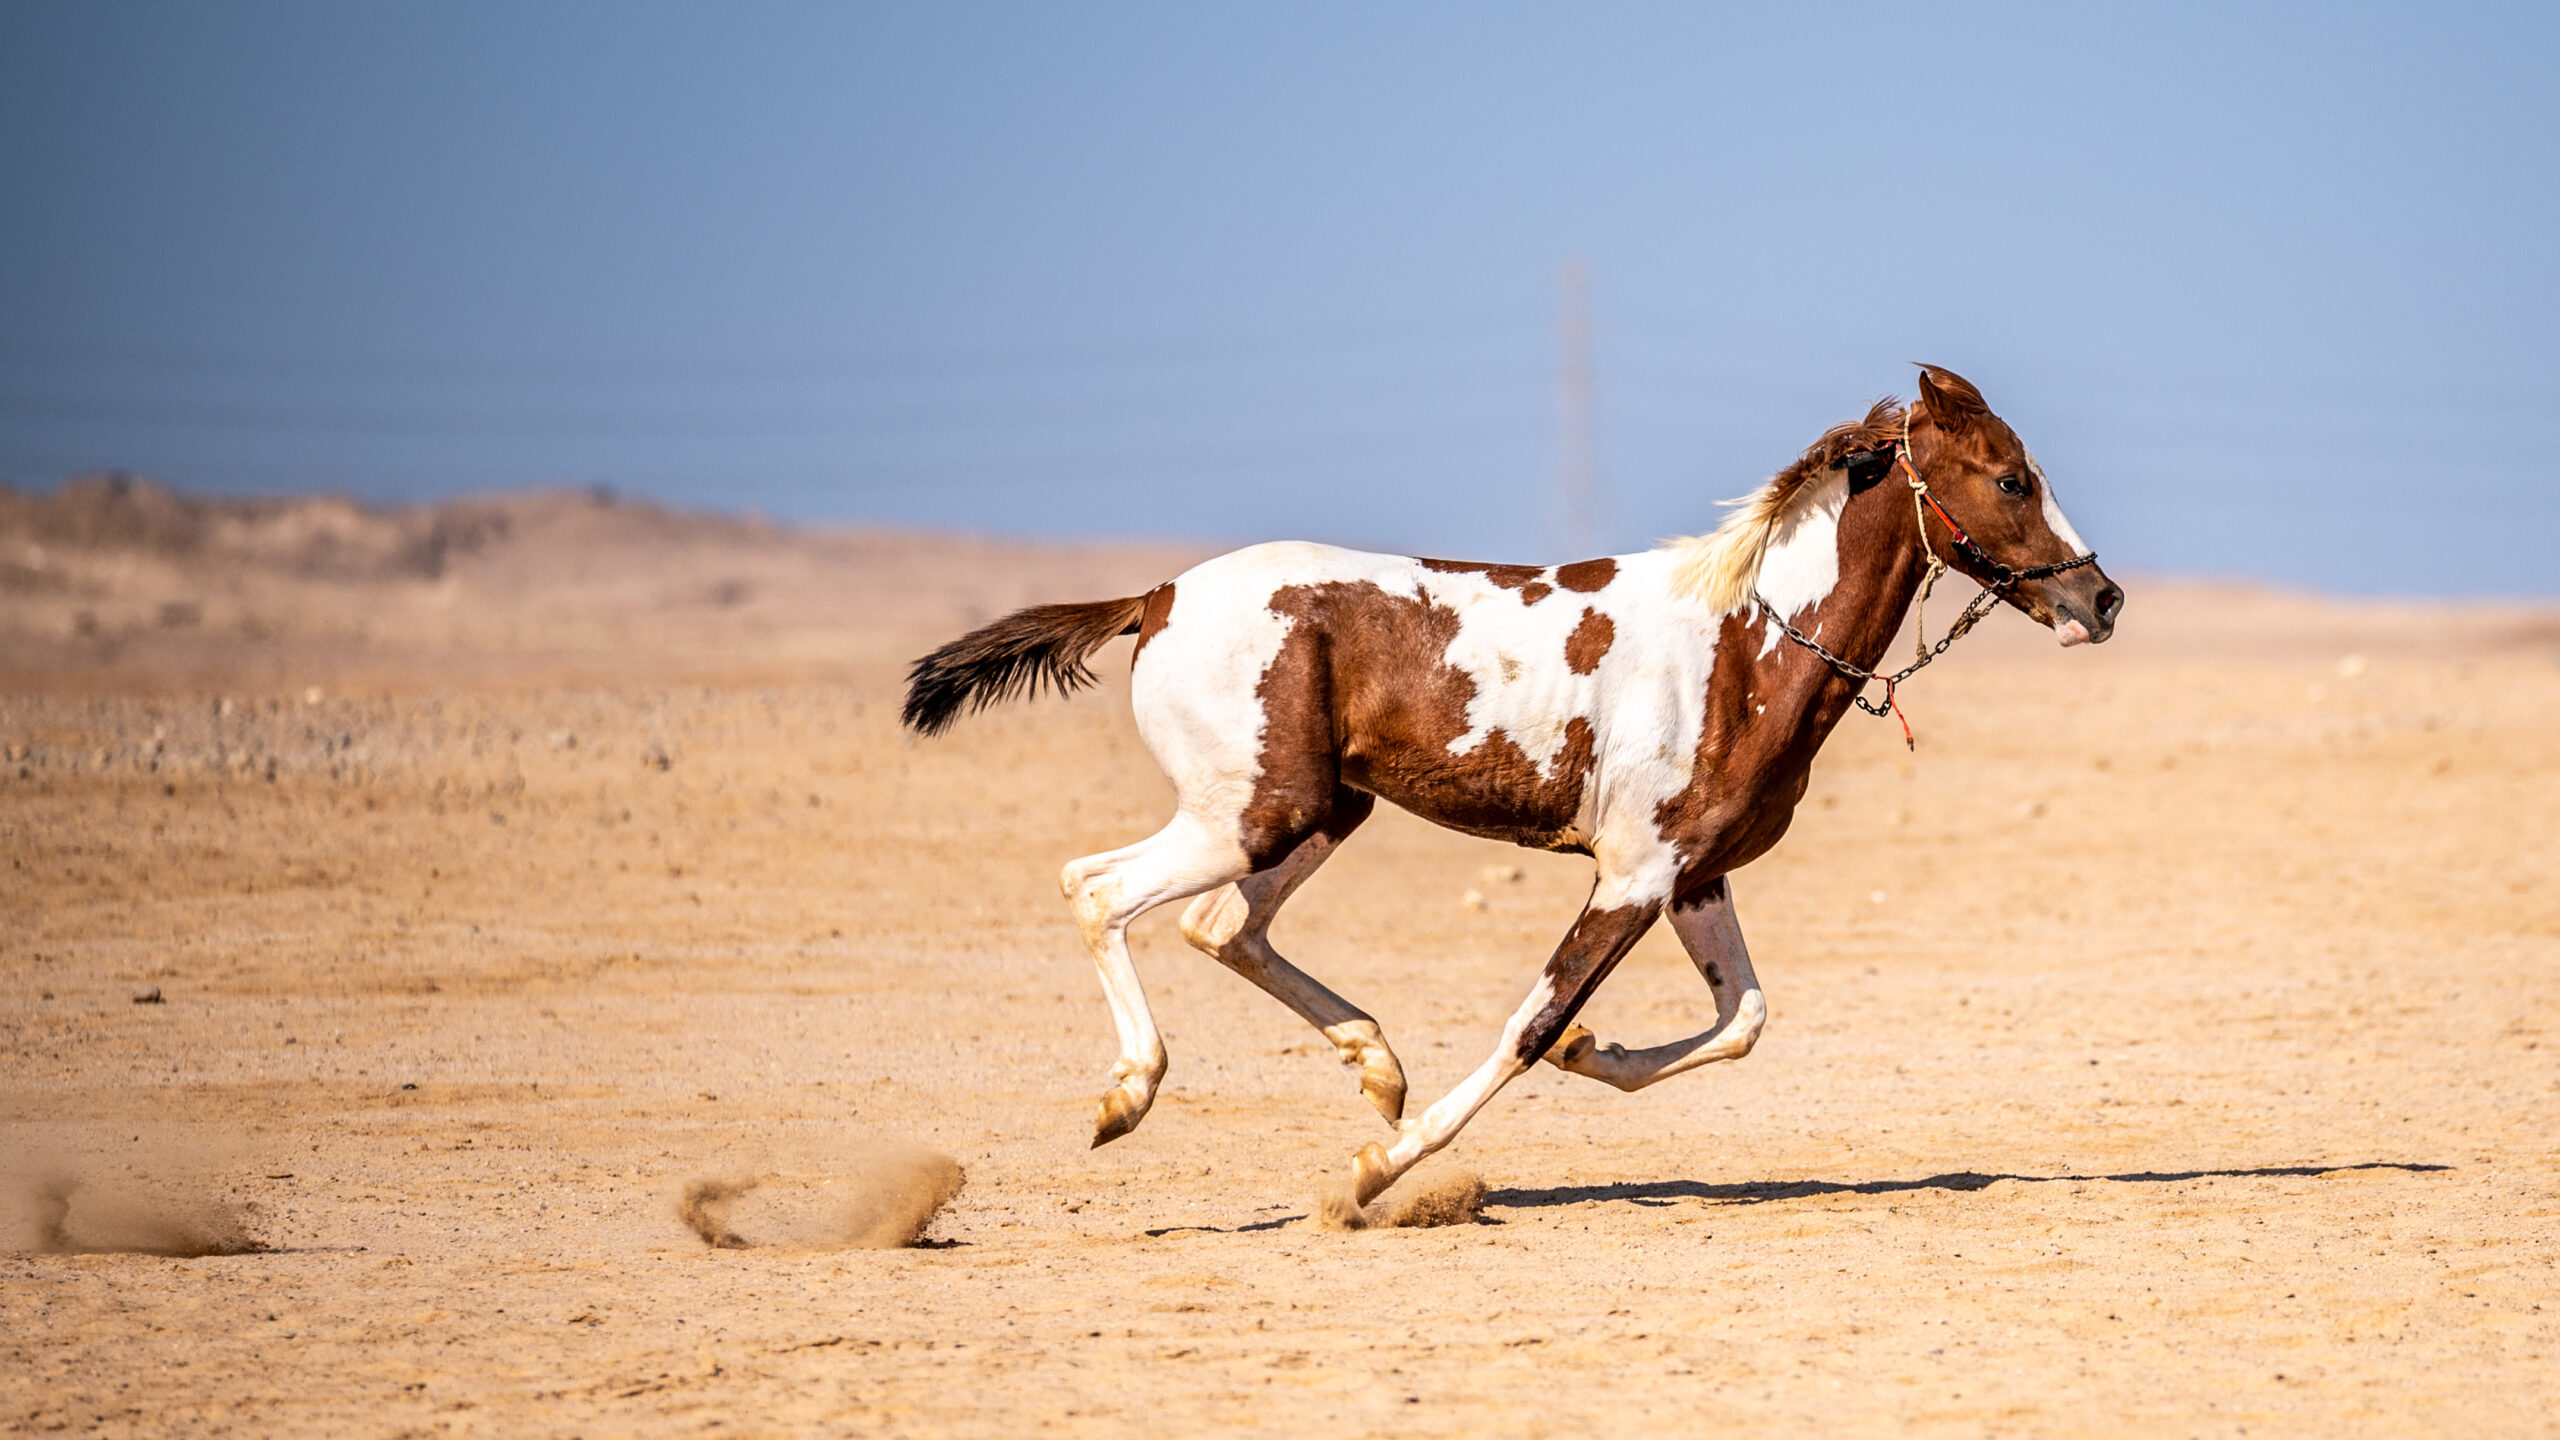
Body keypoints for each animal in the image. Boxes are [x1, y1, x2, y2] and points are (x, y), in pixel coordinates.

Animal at [902, 365, 2123, 1210]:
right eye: (2011, 478)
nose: (2101, 599)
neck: (1743, 642)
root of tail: (1154, 599)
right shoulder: (1632, 878)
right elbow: (1530, 1025)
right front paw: (1380, 1170)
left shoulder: (1692, 876)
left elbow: (1739, 1019)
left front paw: (1595, 1055)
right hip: (1249, 815)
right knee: (1100, 889)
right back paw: (1130, 1094)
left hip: (1318, 813)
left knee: (1220, 929)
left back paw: (1375, 1063)